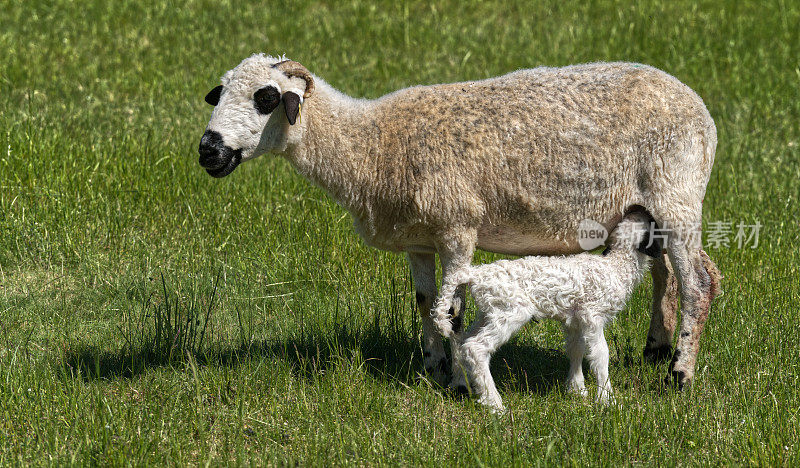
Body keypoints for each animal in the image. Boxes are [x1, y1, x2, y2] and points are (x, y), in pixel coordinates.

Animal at [432, 207, 668, 410]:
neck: (616, 266)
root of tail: (475, 274)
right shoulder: (592, 314)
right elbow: (601, 354)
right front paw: (607, 399)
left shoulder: (575, 318)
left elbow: (576, 349)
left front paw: (577, 391)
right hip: (510, 310)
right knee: (476, 347)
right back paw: (495, 404)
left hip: (489, 310)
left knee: (464, 342)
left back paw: (472, 387)